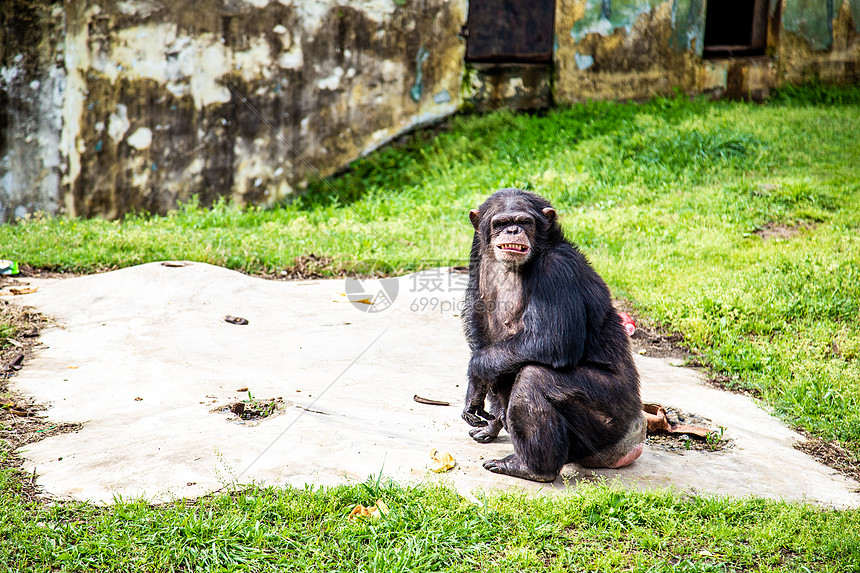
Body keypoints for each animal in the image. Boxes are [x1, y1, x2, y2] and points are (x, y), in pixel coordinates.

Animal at [464, 187, 644, 478]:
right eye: (501, 223)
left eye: (524, 222)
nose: (512, 230)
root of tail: (631, 444)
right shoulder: (476, 253)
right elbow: (480, 323)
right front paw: (480, 399)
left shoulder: (557, 270)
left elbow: (552, 341)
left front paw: (476, 371)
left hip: (611, 419)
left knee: (533, 379)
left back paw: (530, 467)